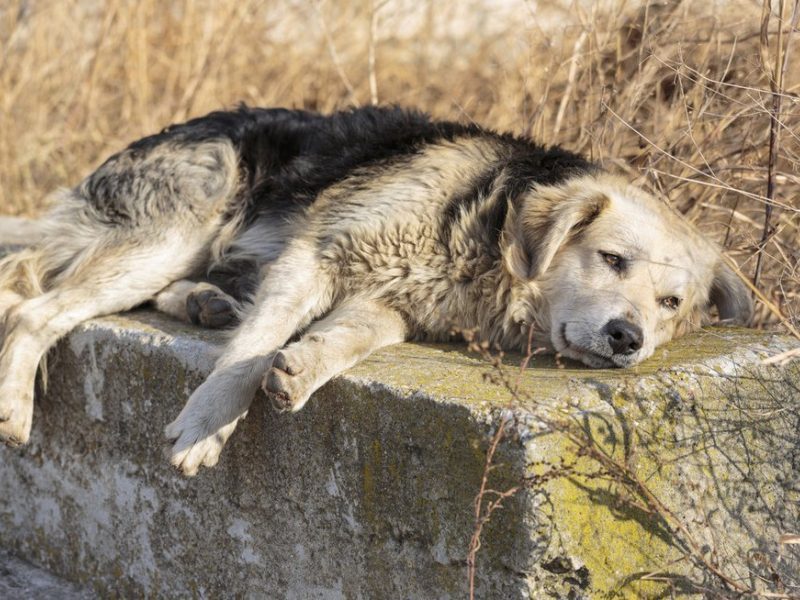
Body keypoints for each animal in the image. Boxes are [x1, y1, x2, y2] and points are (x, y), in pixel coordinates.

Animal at [0, 106, 752, 474]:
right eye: (612, 259)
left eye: (671, 305)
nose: (629, 339)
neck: (484, 235)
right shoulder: (316, 253)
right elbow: (248, 354)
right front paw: (207, 426)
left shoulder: (390, 303)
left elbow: (348, 339)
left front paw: (303, 369)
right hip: (180, 228)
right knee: (35, 312)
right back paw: (15, 406)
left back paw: (207, 301)